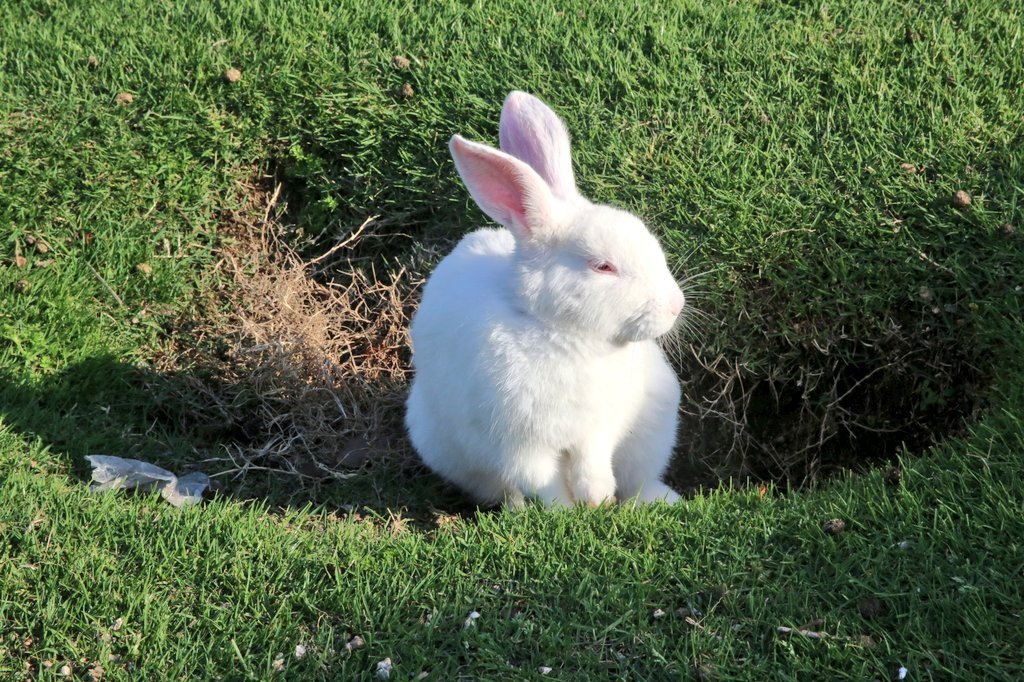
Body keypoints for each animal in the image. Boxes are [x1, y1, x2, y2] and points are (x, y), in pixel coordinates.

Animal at [403, 90, 684, 503]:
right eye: (603, 267)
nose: (675, 305)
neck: (562, 333)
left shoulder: (598, 430)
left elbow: (593, 462)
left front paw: (597, 499)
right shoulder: (518, 446)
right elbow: (544, 482)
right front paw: (570, 509)